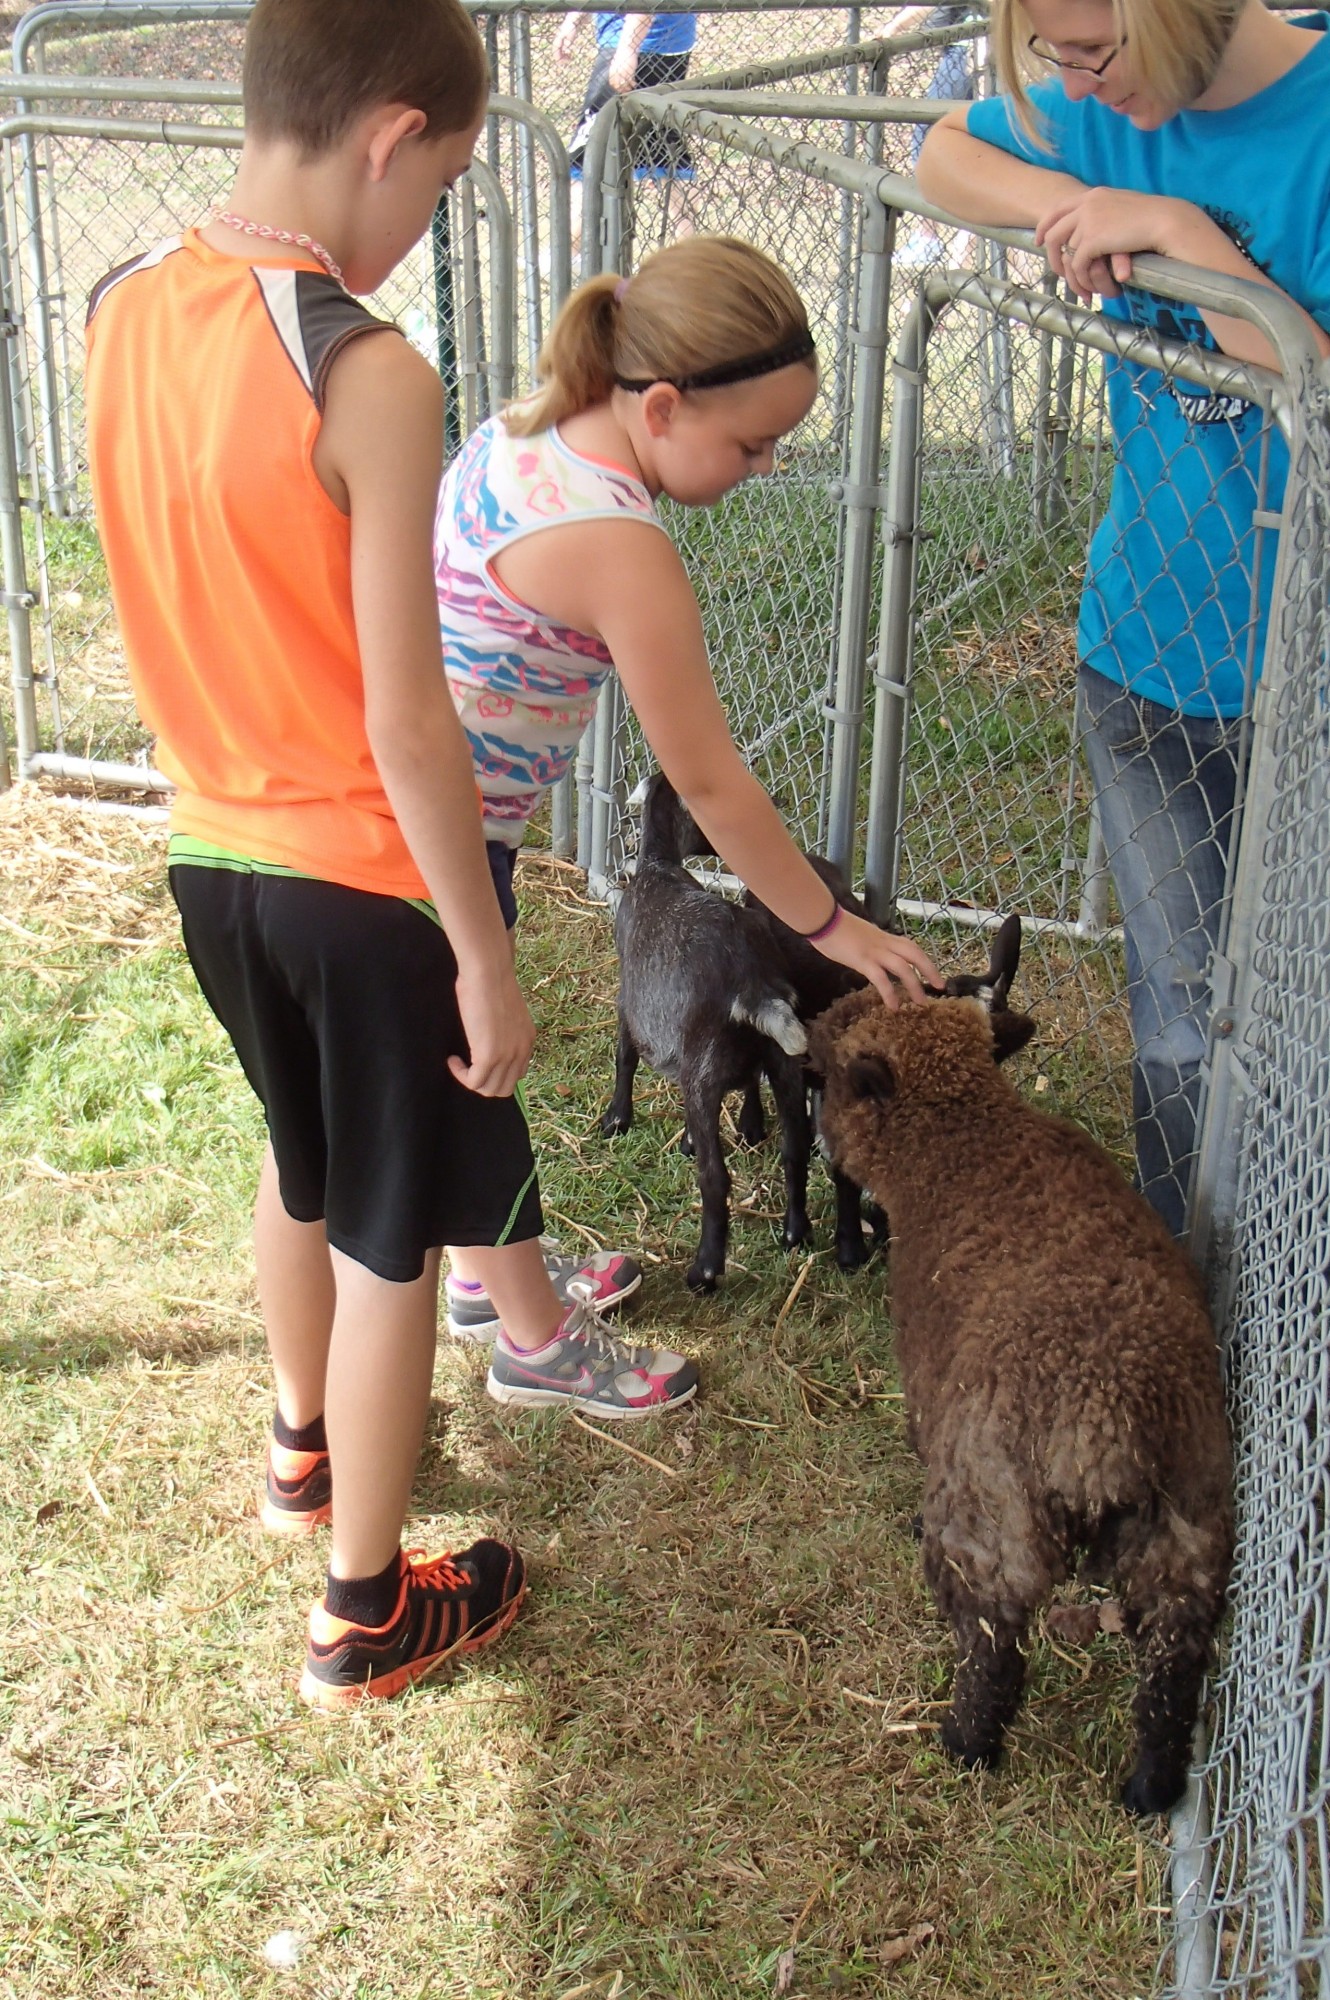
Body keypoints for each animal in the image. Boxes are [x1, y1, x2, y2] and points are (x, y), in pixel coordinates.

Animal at [808, 952, 1232, 1816]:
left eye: (829, 1070)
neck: (967, 1139)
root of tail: (1106, 1424)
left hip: (994, 1515)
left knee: (994, 1644)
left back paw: (967, 1745)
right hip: (1189, 1516)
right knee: (1173, 1660)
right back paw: (1150, 1785)